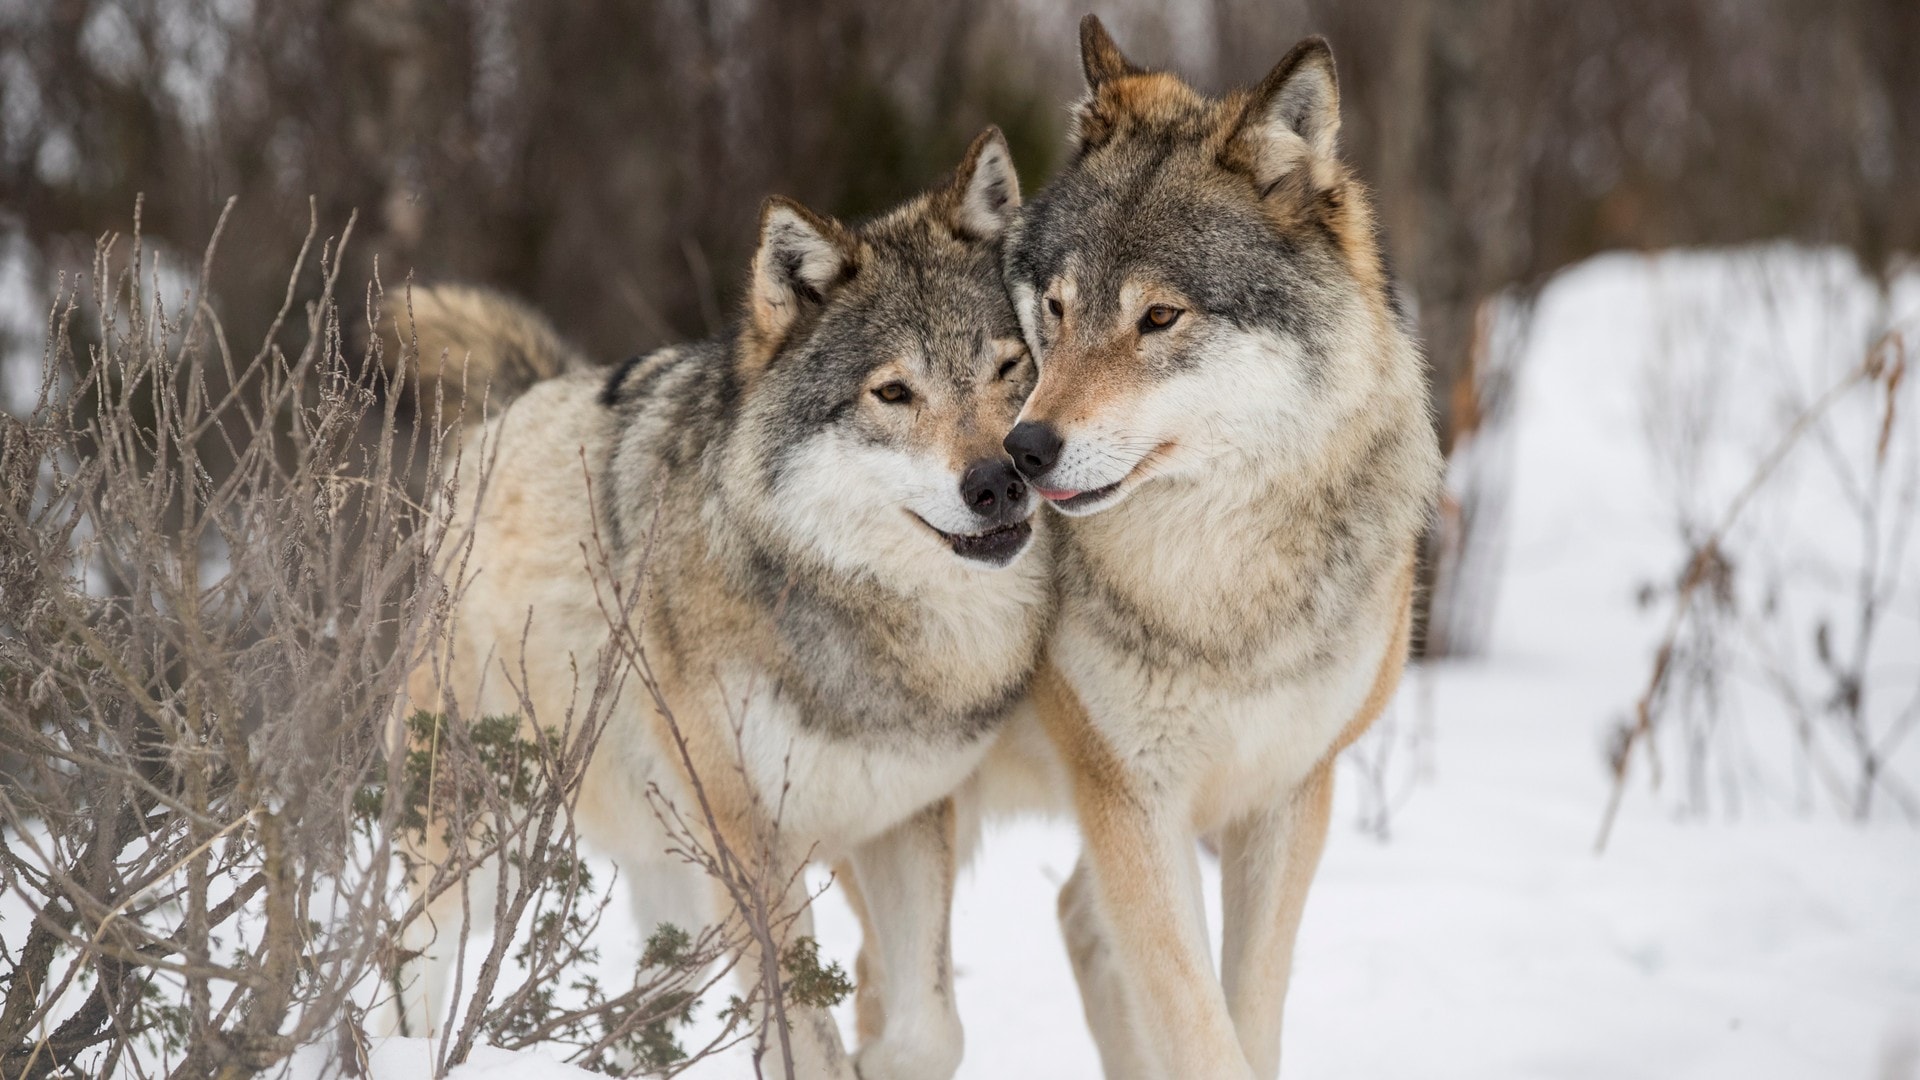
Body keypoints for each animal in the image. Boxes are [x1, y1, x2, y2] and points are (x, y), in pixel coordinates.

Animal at [391, 127, 1052, 1076]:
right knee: (410, 960)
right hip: (475, 841)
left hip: (671, 884)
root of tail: (505, 411)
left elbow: (929, 1028)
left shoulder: (904, 819)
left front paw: (879, 1059)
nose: (999, 482)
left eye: (1008, 367)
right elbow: (806, 1041)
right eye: (894, 393)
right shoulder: (751, 849)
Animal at [990, 18, 1443, 1076]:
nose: (1023, 451)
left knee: (1077, 919)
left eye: (1159, 317)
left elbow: (1246, 1018)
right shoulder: (1132, 803)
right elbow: (1201, 1031)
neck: (1217, 591)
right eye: (1059, 308)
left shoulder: (1285, 799)